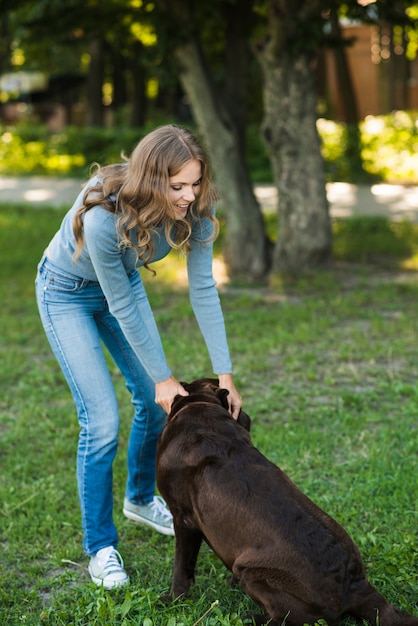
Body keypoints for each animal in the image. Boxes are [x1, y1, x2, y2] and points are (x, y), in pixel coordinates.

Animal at [157, 378, 418, 620]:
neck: (200, 407)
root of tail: (356, 588)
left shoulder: (183, 518)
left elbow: (181, 566)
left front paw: (173, 600)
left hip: (252, 572)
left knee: (298, 618)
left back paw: (253, 618)